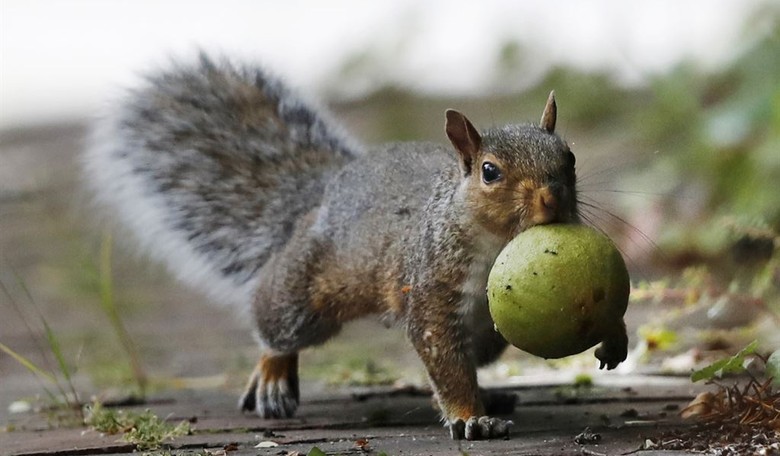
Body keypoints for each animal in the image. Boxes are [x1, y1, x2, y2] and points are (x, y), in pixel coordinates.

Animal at [85, 53, 628, 440]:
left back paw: (493, 395)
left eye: (569, 157)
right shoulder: (433, 286)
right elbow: (443, 359)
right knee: (274, 324)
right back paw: (273, 375)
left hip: (488, 337)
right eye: (489, 172)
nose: (553, 197)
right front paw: (471, 418)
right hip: (304, 295)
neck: (497, 243)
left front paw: (613, 337)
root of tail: (326, 192)